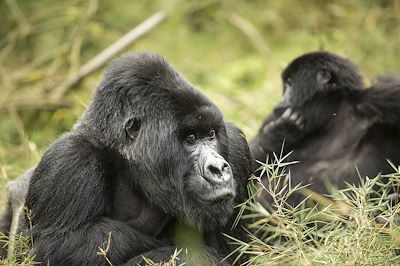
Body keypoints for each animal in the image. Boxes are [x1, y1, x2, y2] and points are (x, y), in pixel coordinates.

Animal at [7, 51, 252, 264]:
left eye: (210, 134)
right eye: (190, 138)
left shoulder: (236, 149)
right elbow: (53, 247)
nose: (218, 168)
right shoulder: (68, 160)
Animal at [252, 51, 400, 206]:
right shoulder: (272, 118)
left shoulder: (380, 99)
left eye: (290, 84)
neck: (330, 117)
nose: (281, 100)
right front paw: (277, 135)